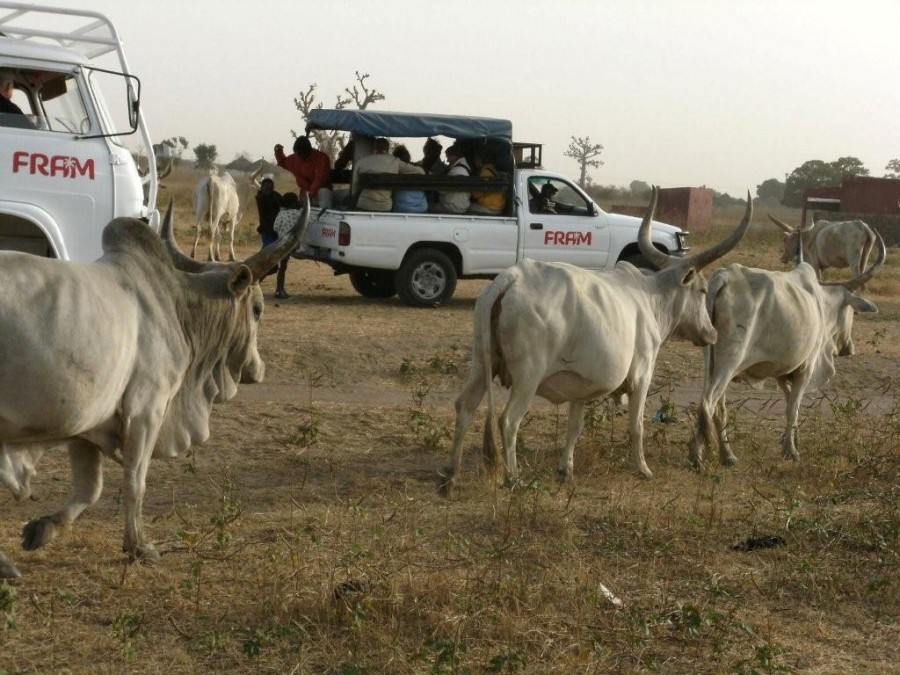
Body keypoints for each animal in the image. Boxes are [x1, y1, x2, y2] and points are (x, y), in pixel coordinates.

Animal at [0, 194, 310, 576]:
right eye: (257, 309)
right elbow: (136, 481)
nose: (258, 369)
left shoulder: (88, 423)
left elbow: (90, 489)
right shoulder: (146, 411)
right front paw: (140, 546)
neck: (179, 307)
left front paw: (42, 529)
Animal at [442, 186, 752, 492]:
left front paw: (566, 469)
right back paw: (514, 477)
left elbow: (574, 427)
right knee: (508, 420)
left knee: (465, 406)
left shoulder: (580, 386)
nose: (712, 333)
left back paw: (451, 474)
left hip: (481, 364)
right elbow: (637, 425)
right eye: (702, 290)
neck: (652, 299)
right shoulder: (643, 375)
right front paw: (643, 469)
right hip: (527, 376)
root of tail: (510, 279)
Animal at [688, 232, 884, 470]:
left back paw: (723, 455)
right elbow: (793, 409)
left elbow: (789, 400)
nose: (848, 348)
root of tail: (723, 277)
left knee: (715, 407)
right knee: (708, 403)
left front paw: (790, 440)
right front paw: (791, 450)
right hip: (729, 360)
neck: (821, 303)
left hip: (712, 359)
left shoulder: (783, 371)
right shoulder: (806, 368)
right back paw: (703, 457)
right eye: (851, 311)